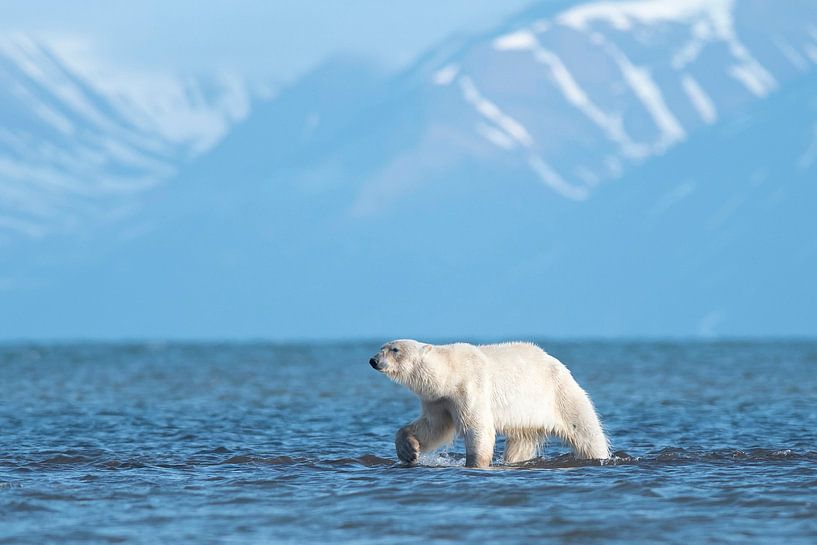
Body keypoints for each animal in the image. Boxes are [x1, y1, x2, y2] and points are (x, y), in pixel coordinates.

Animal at [366, 338, 608, 466]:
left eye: (394, 349)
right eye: (380, 347)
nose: (373, 360)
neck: (451, 373)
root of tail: (559, 364)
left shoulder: (470, 387)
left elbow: (478, 427)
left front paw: (474, 463)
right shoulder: (439, 400)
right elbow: (434, 427)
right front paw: (409, 450)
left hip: (560, 395)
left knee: (585, 431)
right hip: (528, 418)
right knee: (521, 442)